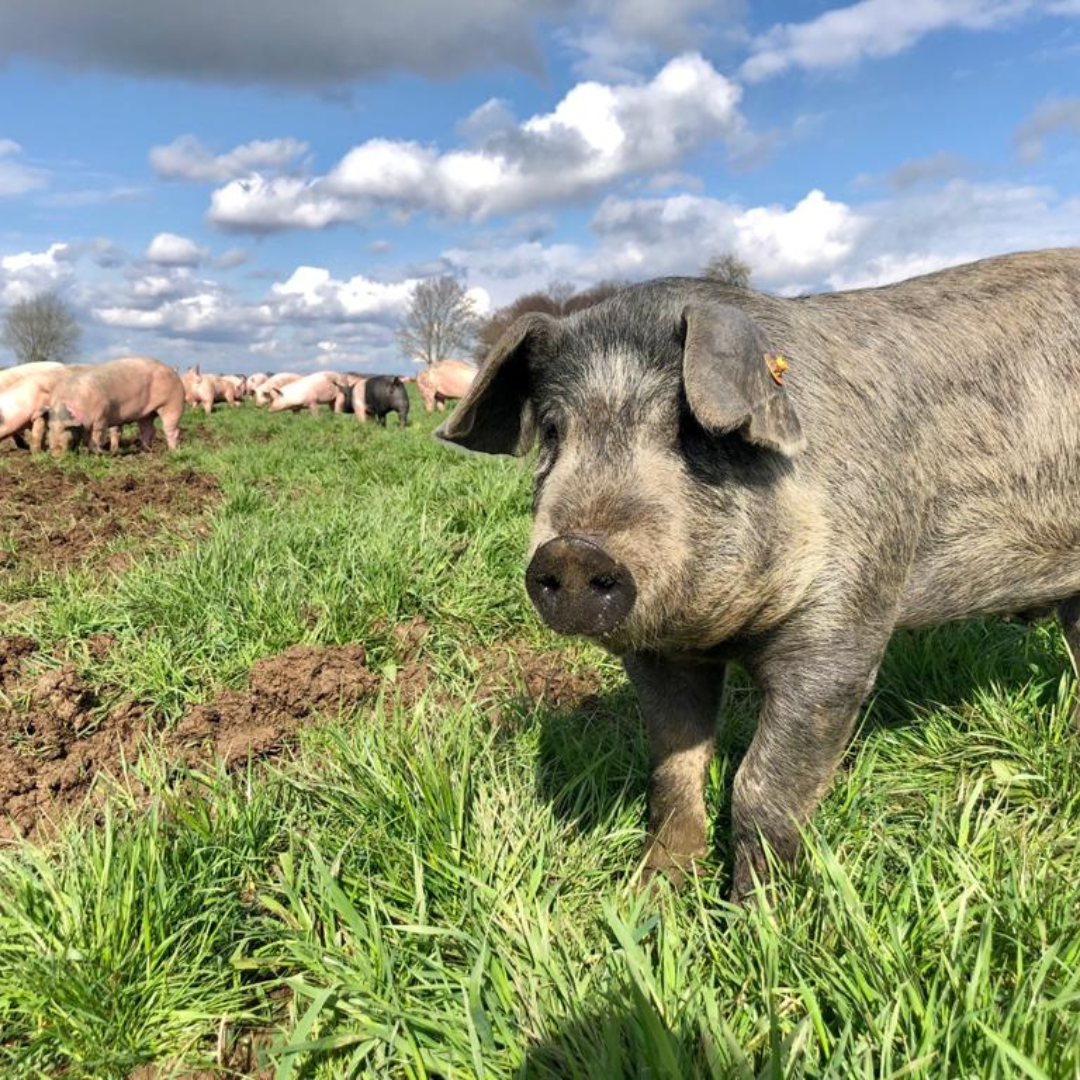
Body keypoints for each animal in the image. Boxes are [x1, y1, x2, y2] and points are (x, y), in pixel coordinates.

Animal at [434, 248, 1080, 898]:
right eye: (553, 432)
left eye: (693, 431)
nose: (574, 552)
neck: (720, 634)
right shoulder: (657, 654)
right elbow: (672, 765)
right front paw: (651, 894)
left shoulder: (846, 627)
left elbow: (763, 785)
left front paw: (757, 911)